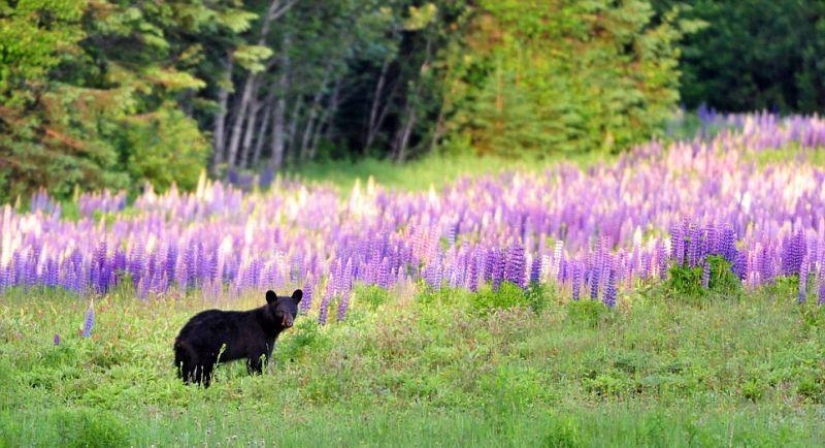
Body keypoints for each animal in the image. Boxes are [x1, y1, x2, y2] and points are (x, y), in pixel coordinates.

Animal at [174, 288, 302, 386]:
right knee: (197, 371)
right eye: (281, 311)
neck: (266, 324)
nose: (289, 322)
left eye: (293, 311)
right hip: (200, 350)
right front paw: (259, 379)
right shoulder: (257, 338)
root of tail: (180, 337)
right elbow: (257, 360)